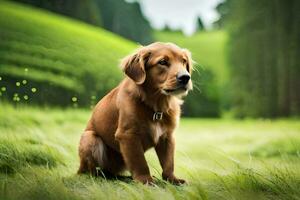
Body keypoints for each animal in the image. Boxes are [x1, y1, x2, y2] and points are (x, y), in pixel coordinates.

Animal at [78, 41, 192, 184]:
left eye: (183, 61)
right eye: (162, 62)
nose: (186, 77)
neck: (155, 106)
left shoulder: (167, 136)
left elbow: (168, 162)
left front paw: (172, 180)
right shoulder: (128, 135)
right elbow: (140, 162)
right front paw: (145, 180)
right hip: (90, 138)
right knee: (95, 172)